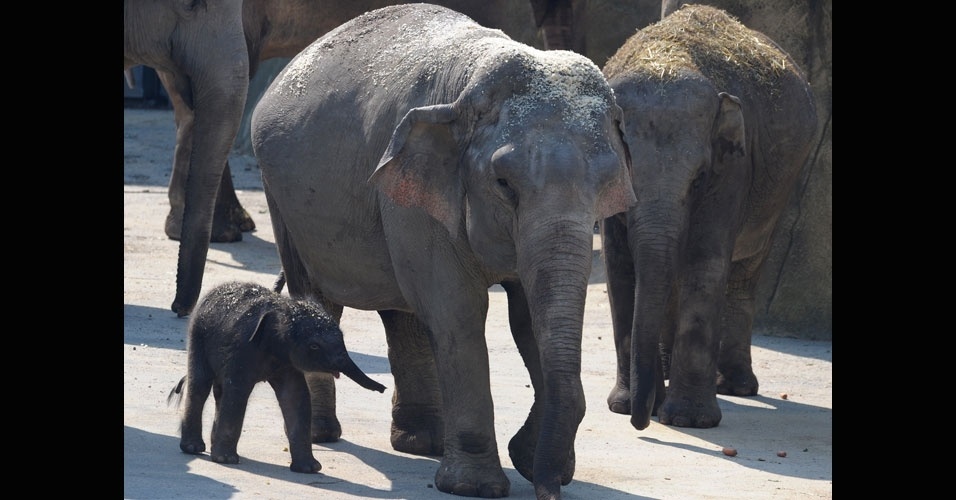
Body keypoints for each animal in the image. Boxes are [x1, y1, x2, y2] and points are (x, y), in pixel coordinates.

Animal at [168, 282, 384, 472]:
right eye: (314, 346)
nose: (383, 389)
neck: (284, 308)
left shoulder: (287, 359)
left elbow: (295, 397)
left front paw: (310, 469)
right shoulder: (243, 348)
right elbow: (238, 393)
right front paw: (226, 460)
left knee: (218, 392)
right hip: (198, 336)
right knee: (200, 385)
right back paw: (194, 449)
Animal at [252, 4, 636, 500]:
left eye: (605, 186)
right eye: (504, 184)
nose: (548, 490)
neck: (469, 89)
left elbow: (528, 316)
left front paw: (529, 459)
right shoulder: (414, 190)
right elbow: (459, 312)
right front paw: (475, 486)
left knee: (404, 312)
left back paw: (421, 444)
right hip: (282, 198)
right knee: (316, 297)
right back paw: (324, 436)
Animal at [596, 3, 816, 430]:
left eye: (698, 179)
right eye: (624, 170)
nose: (642, 421)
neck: (665, 58)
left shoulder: (733, 164)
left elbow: (705, 261)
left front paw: (687, 420)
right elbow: (619, 264)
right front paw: (625, 405)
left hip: (784, 186)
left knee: (745, 271)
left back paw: (734, 387)